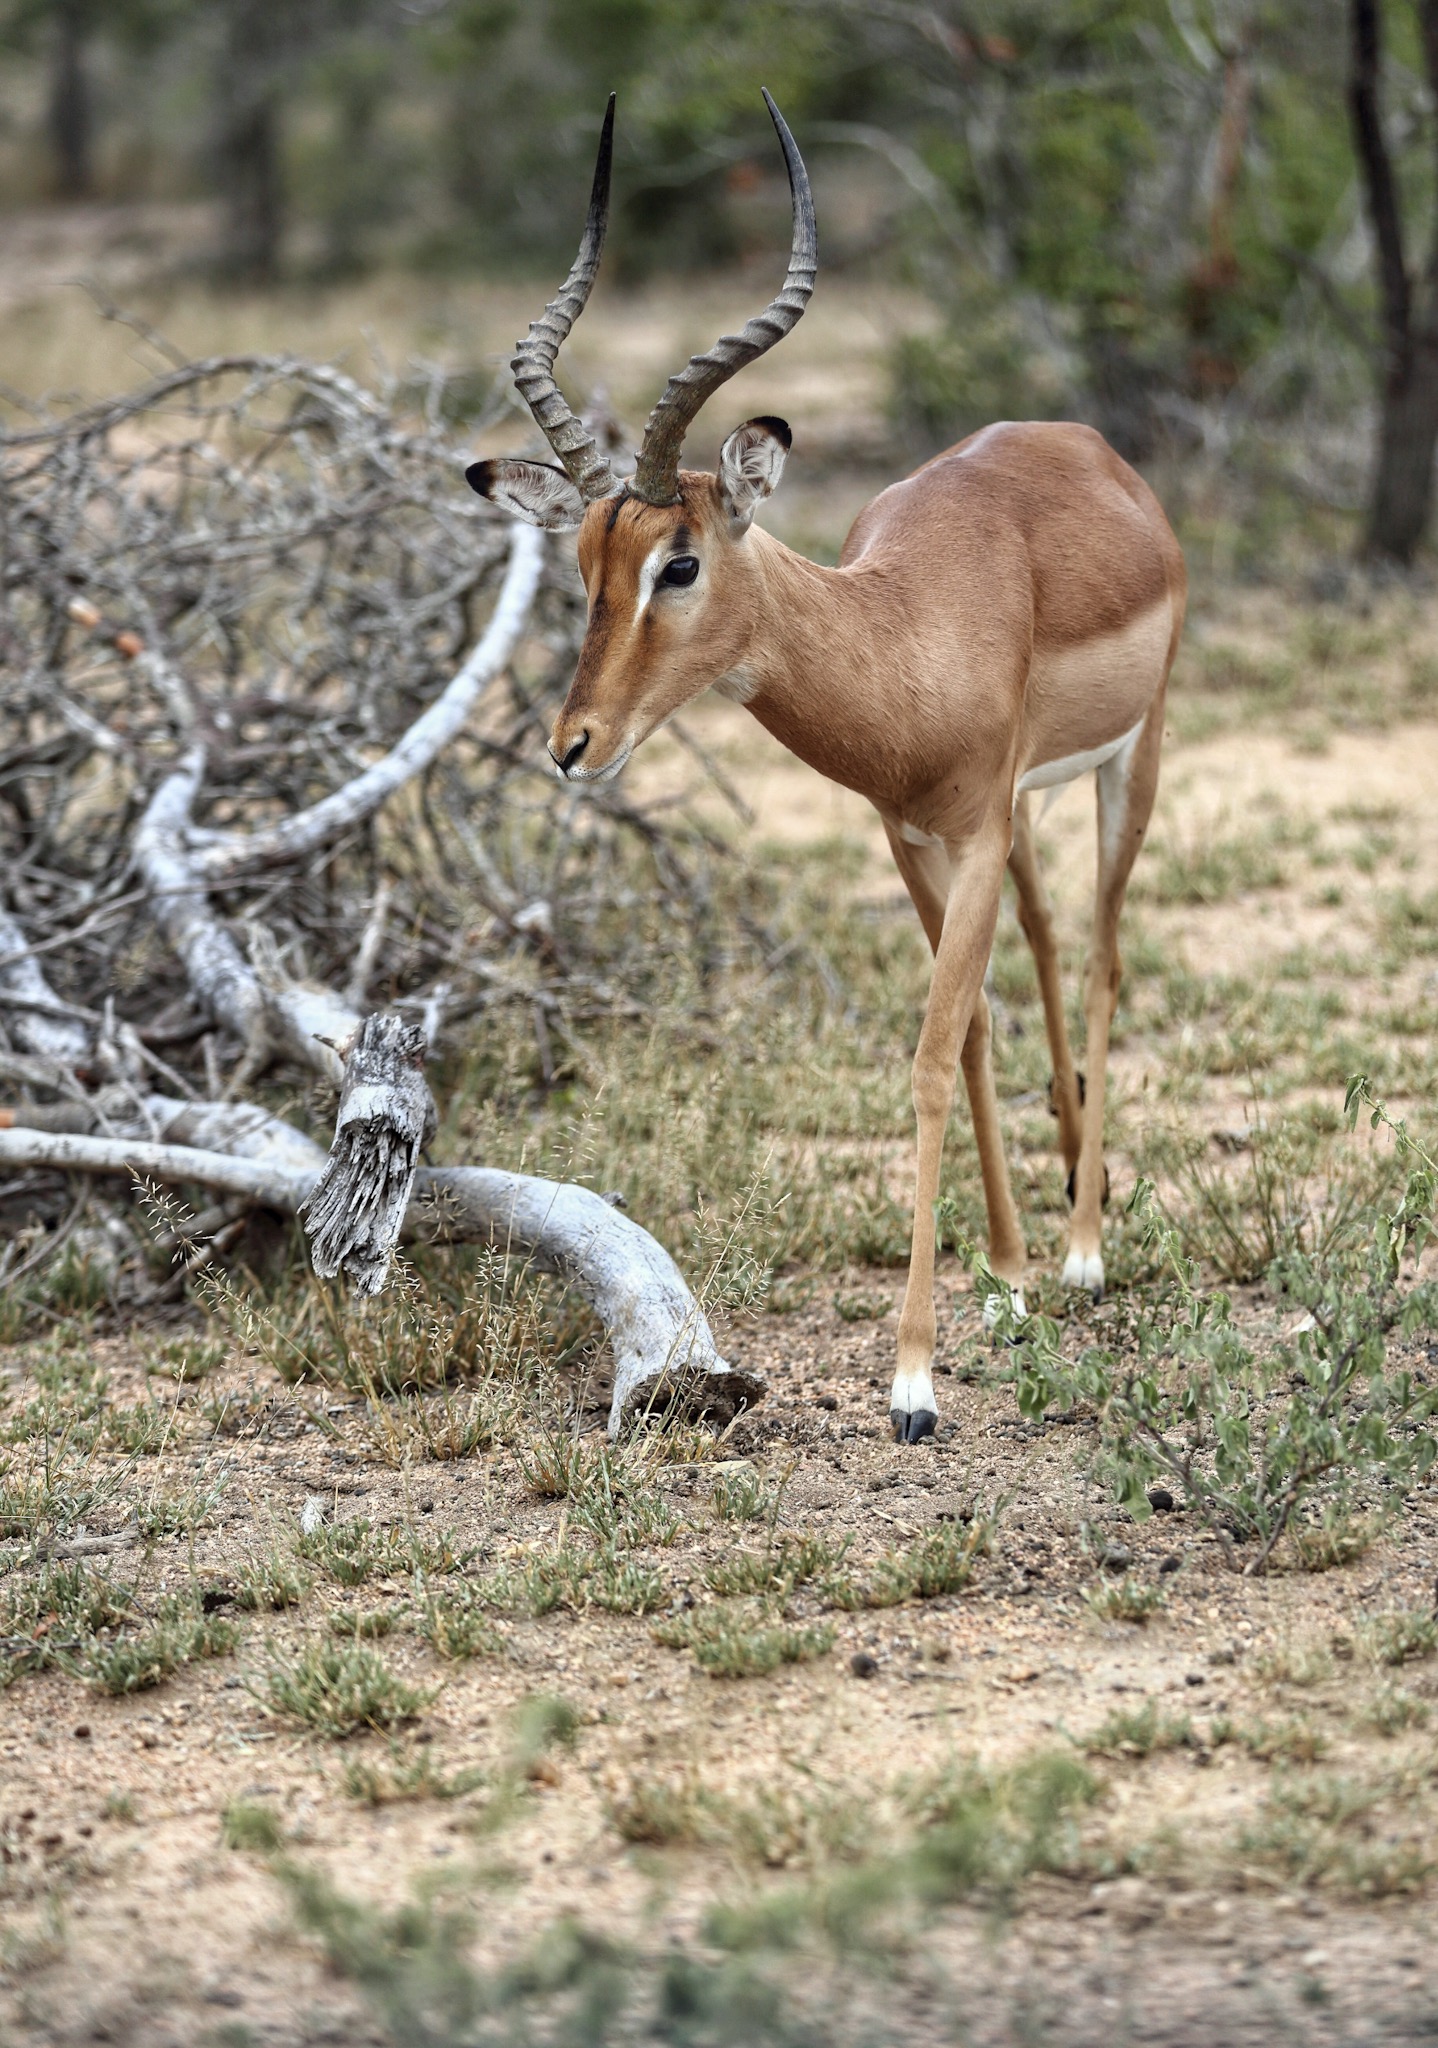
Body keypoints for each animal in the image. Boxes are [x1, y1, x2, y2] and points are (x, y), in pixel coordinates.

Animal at [467, 93, 1186, 1443]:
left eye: (679, 560)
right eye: (583, 558)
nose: (571, 744)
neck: (906, 631)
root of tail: (1091, 449)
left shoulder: (970, 834)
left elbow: (928, 1054)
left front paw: (913, 1380)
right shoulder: (916, 834)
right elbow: (970, 1031)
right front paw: (1000, 1280)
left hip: (1136, 760)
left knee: (1108, 949)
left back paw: (1085, 1245)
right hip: (1025, 808)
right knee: (1049, 940)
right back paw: (1072, 1185)